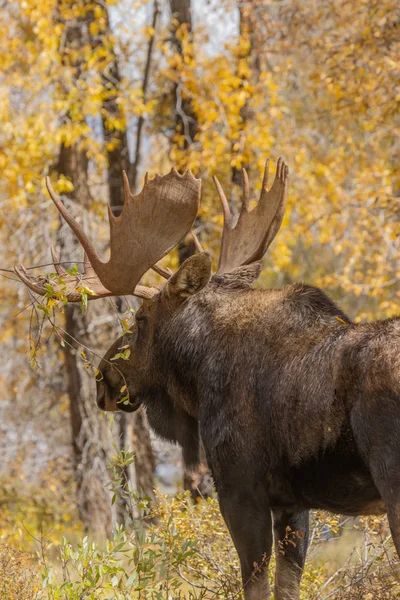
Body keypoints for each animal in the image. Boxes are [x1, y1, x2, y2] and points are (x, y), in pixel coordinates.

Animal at [16, 159, 400, 600]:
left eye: (140, 319)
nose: (102, 380)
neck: (199, 381)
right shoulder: (292, 503)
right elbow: (288, 585)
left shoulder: (239, 488)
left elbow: (255, 585)